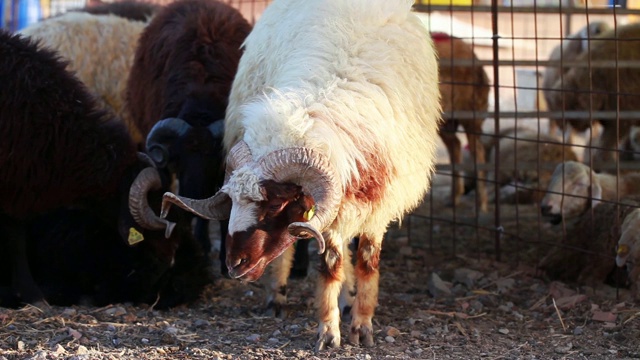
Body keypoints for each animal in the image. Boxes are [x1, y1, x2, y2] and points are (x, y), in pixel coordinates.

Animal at [160, 0, 442, 350]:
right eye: (232, 201)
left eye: (276, 205)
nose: (233, 264)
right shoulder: (333, 210)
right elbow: (330, 265)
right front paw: (329, 331)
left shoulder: (377, 204)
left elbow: (366, 262)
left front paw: (362, 325)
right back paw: (277, 298)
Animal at [432, 32, 492, 212]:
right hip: (444, 121)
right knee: (456, 146)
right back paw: (454, 197)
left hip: (471, 117)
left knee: (478, 152)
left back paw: (481, 205)